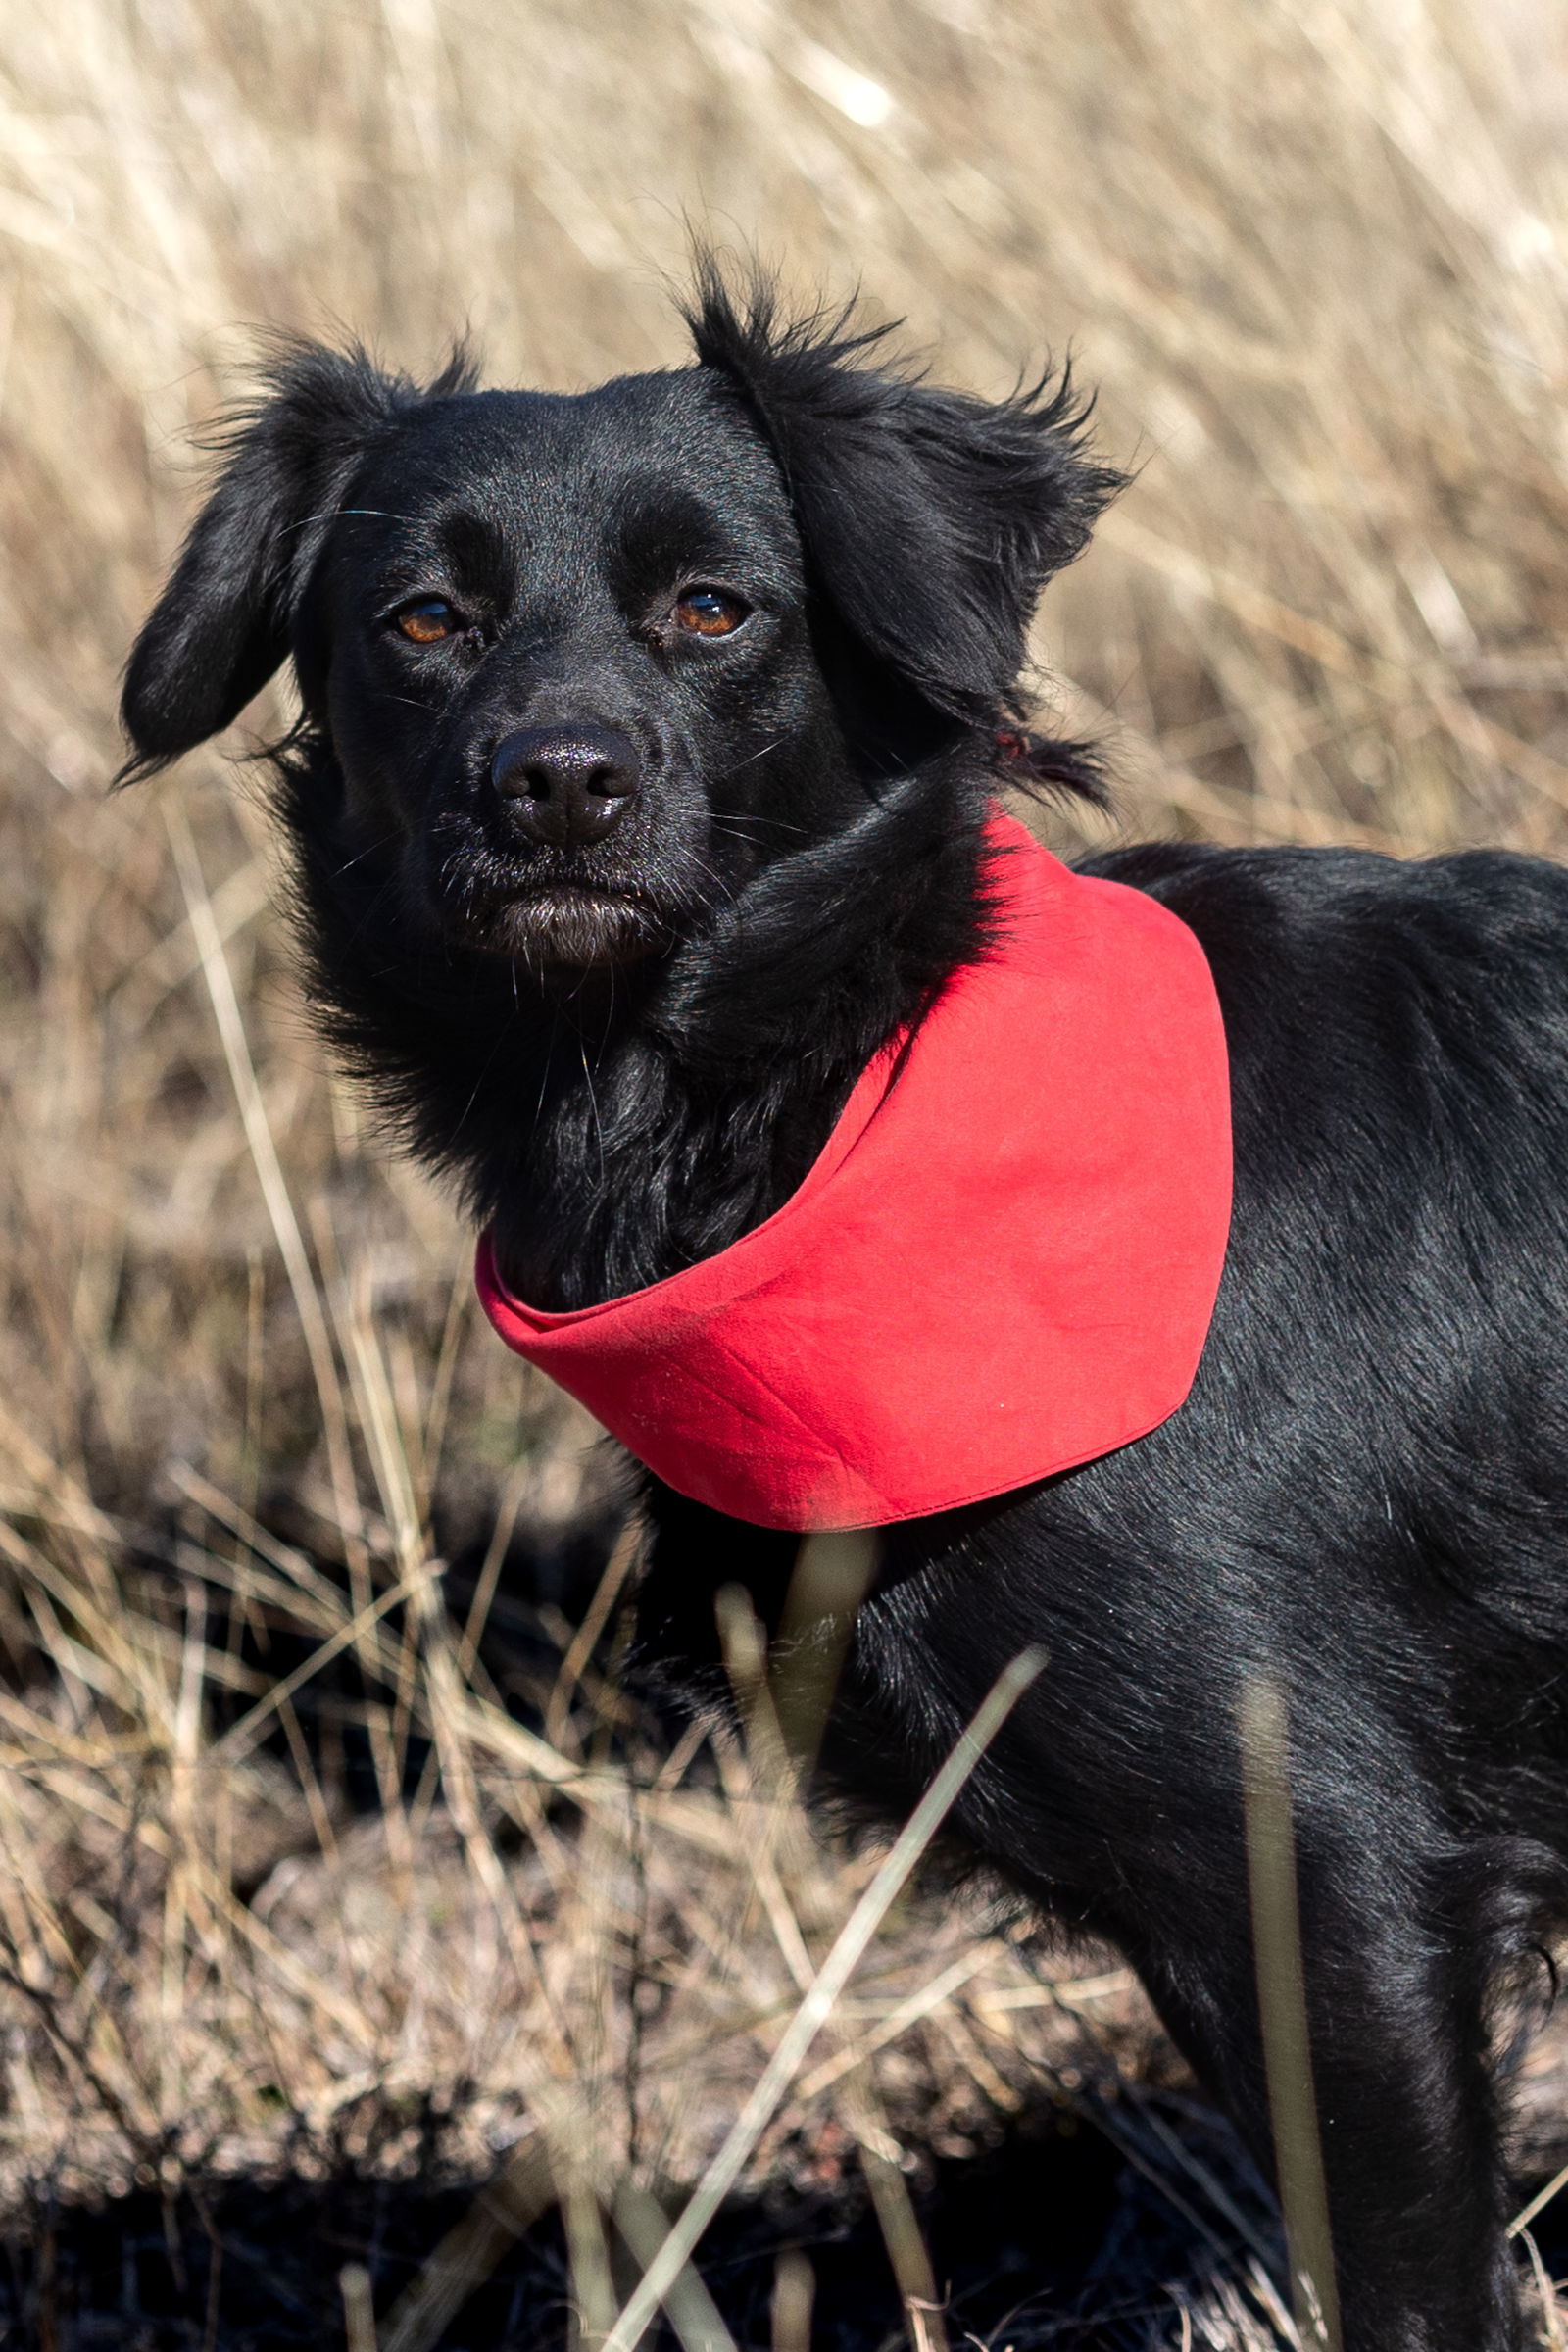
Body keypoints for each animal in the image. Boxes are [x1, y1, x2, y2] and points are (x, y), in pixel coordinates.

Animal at [122, 270, 1568, 2332]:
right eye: (423, 622)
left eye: (713, 608)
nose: (557, 786)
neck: (838, 1098)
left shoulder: (1334, 1869)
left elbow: (1407, 2282)